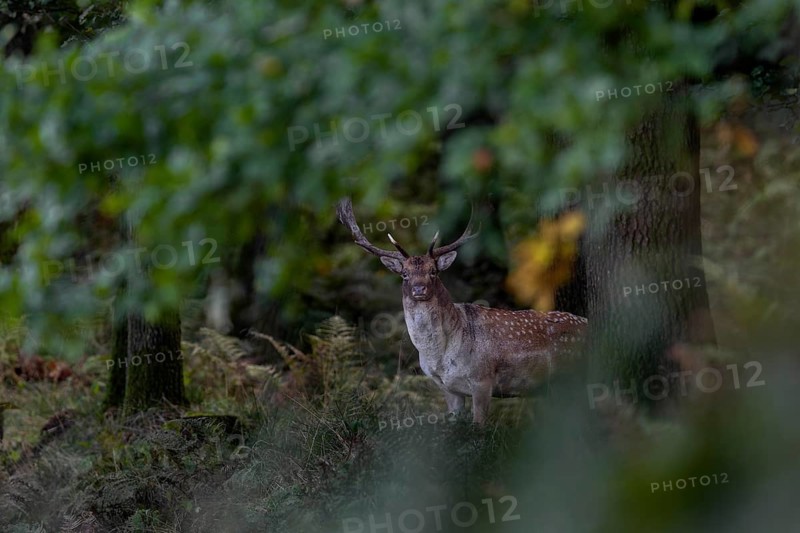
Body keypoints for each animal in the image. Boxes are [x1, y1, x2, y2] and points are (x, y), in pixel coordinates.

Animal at [337, 198, 588, 425]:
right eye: (405, 274)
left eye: (433, 271)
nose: (419, 289)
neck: (440, 356)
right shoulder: (448, 388)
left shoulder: (482, 379)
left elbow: (479, 427)